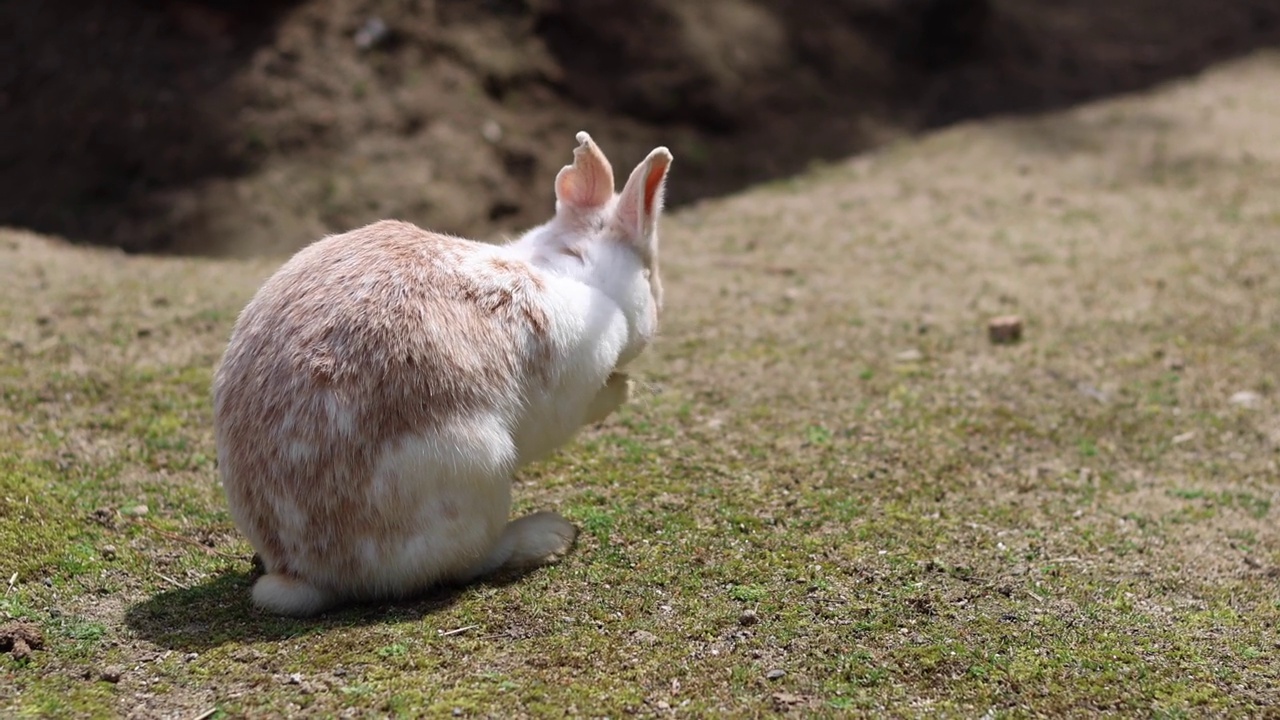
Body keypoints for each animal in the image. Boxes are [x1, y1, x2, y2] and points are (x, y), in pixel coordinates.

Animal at [212, 131, 670, 614]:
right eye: (650, 277)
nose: (658, 310)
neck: (572, 269)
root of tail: (301, 571)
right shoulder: (570, 389)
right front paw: (621, 389)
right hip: (476, 472)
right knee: (467, 563)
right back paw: (546, 536)